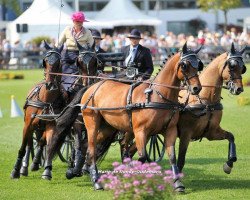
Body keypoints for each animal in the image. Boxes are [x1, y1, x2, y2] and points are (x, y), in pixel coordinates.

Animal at [65, 43, 203, 191]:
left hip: (107, 127)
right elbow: (142, 157)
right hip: (92, 125)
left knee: (87, 145)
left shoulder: (169, 130)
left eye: (198, 65)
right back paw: (95, 179)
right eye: (184, 65)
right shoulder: (140, 131)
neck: (157, 96)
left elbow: (172, 156)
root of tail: (91, 86)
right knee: (91, 147)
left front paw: (177, 183)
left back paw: (77, 170)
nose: (197, 88)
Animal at [177, 42, 247, 175]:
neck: (206, 101)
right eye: (232, 66)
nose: (239, 89)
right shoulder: (185, 133)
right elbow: (180, 161)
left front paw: (229, 164)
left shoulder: (212, 132)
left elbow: (231, 137)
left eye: (243, 68)